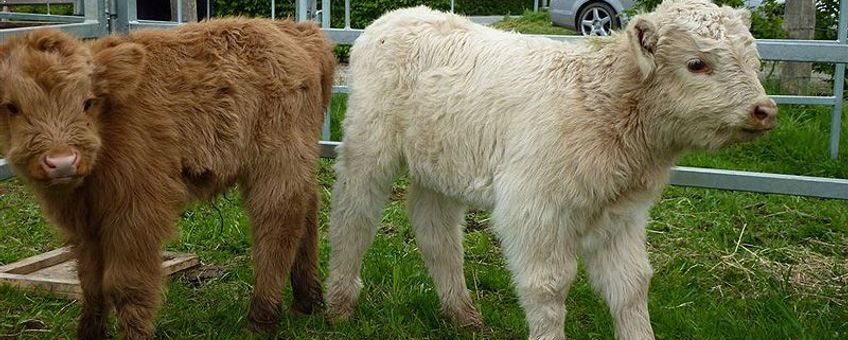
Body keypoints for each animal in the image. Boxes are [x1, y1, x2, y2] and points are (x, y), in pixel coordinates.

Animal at [0, 19, 336, 340]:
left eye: (87, 102)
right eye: (12, 106)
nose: (62, 162)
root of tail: (295, 30)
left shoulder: (137, 213)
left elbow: (125, 284)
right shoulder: (84, 224)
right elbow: (91, 283)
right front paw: (88, 334)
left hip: (277, 164)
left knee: (277, 228)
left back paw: (260, 320)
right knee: (307, 212)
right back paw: (306, 303)